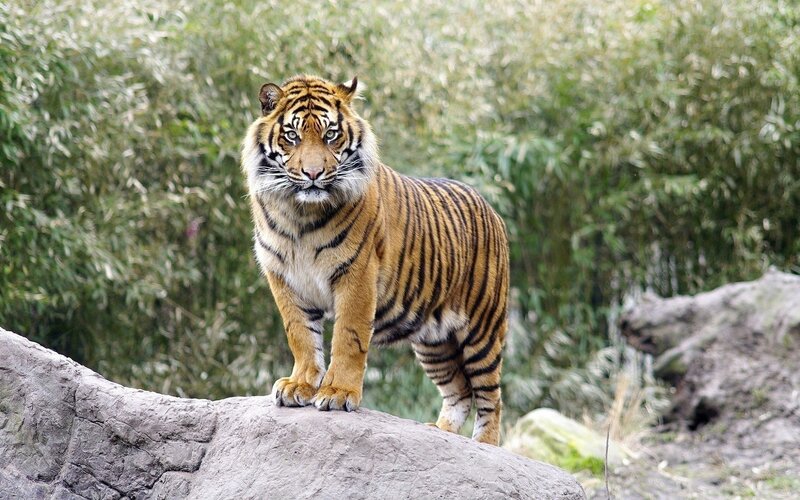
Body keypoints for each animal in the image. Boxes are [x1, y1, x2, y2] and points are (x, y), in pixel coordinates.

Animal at [240, 75, 509, 445]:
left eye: (330, 135)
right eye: (292, 136)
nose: (313, 174)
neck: (299, 213)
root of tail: (489, 207)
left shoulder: (357, 274)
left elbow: (348, 337)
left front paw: (338, 393)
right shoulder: (284, 279)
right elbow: (301, 335)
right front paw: (300, 385)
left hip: (483, 330)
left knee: (490, 397)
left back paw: (483, 446)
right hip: (434, 342)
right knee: (459, 391)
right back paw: (440, 432)